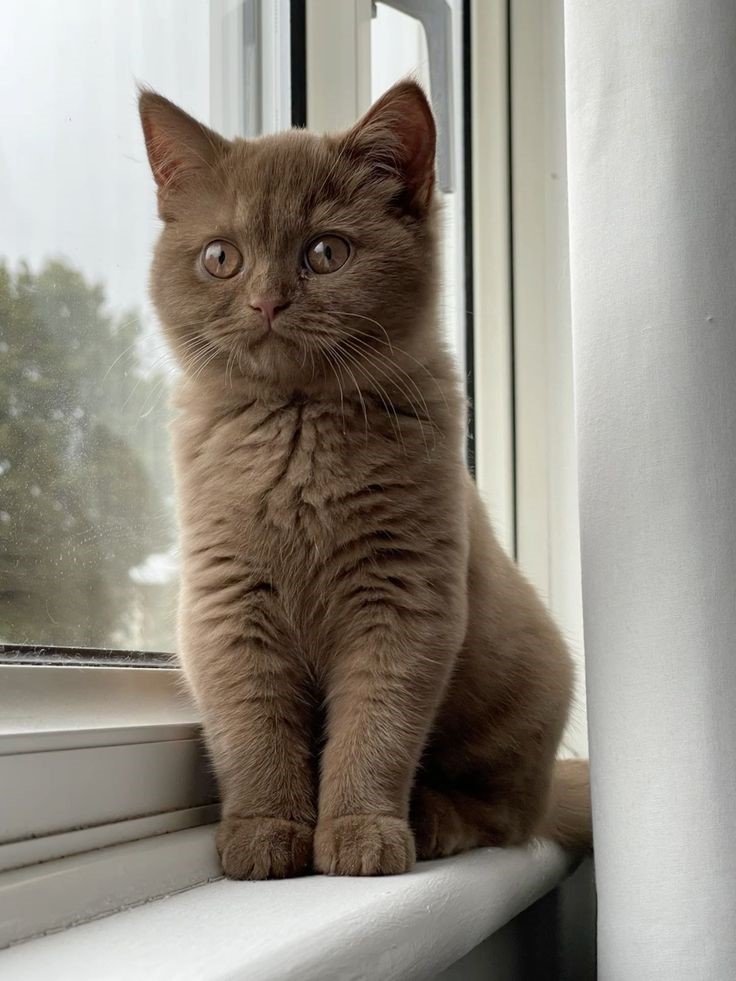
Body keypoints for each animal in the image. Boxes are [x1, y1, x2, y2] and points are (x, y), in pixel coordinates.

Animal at [139, 80, 592, 876]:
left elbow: (375, 727)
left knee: (509, 813)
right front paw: (266, 829)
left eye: (326, 252)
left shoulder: (403, 599)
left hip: (530, 688)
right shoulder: (227, 602)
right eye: (221, 257)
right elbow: (252, 728)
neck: (298, 429)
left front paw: (360, 829)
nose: (266, 300)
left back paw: (435, 817)